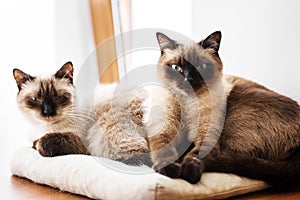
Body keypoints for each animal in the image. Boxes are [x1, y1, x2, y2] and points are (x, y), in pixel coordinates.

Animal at [150, 30, 300, 185]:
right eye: (176, 68)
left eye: (201, 67)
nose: (188, 79)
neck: (187, 102)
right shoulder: (164, 129)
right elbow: (164, 149)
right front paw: (170, 170)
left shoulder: (207, 134)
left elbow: (196, 155)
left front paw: (190, 174)